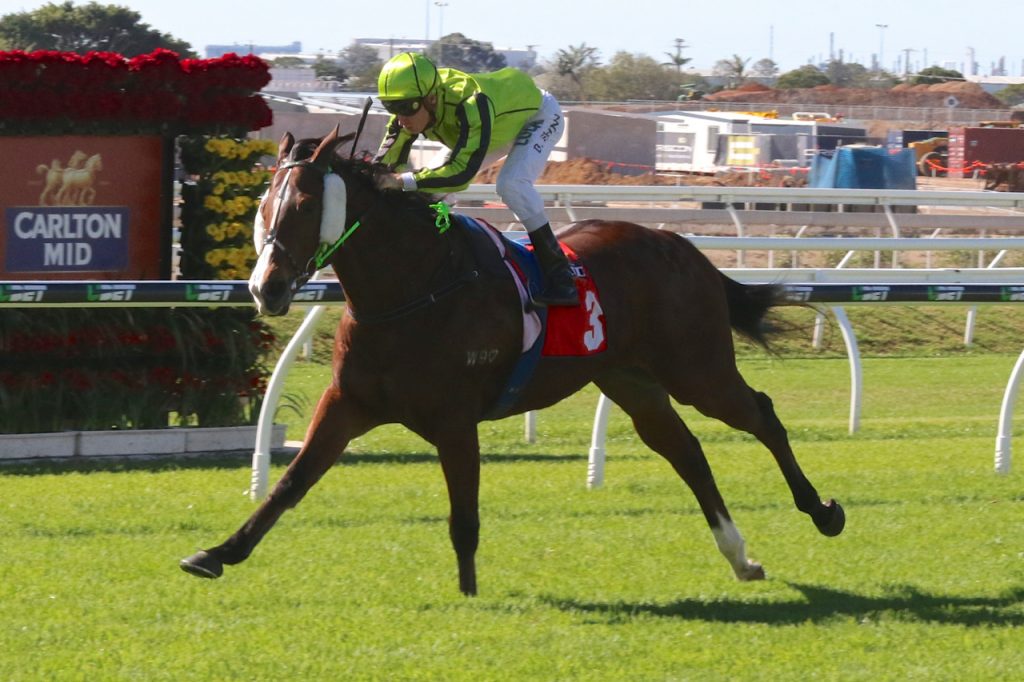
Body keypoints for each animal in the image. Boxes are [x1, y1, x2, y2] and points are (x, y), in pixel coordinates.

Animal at [180, 125, 845, 595]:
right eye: (264, 202)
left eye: (302, 205)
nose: (264, 288)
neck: (413, 289)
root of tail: (682, 246)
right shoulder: (349, 402)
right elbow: (290, 483)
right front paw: (216, 554)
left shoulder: (455, 420)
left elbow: (464, 515)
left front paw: (469, 597)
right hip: (630, 380)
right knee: (686, 452)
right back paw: (740, 556)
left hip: (697, 369)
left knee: (761, 415)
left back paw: (823, 512)